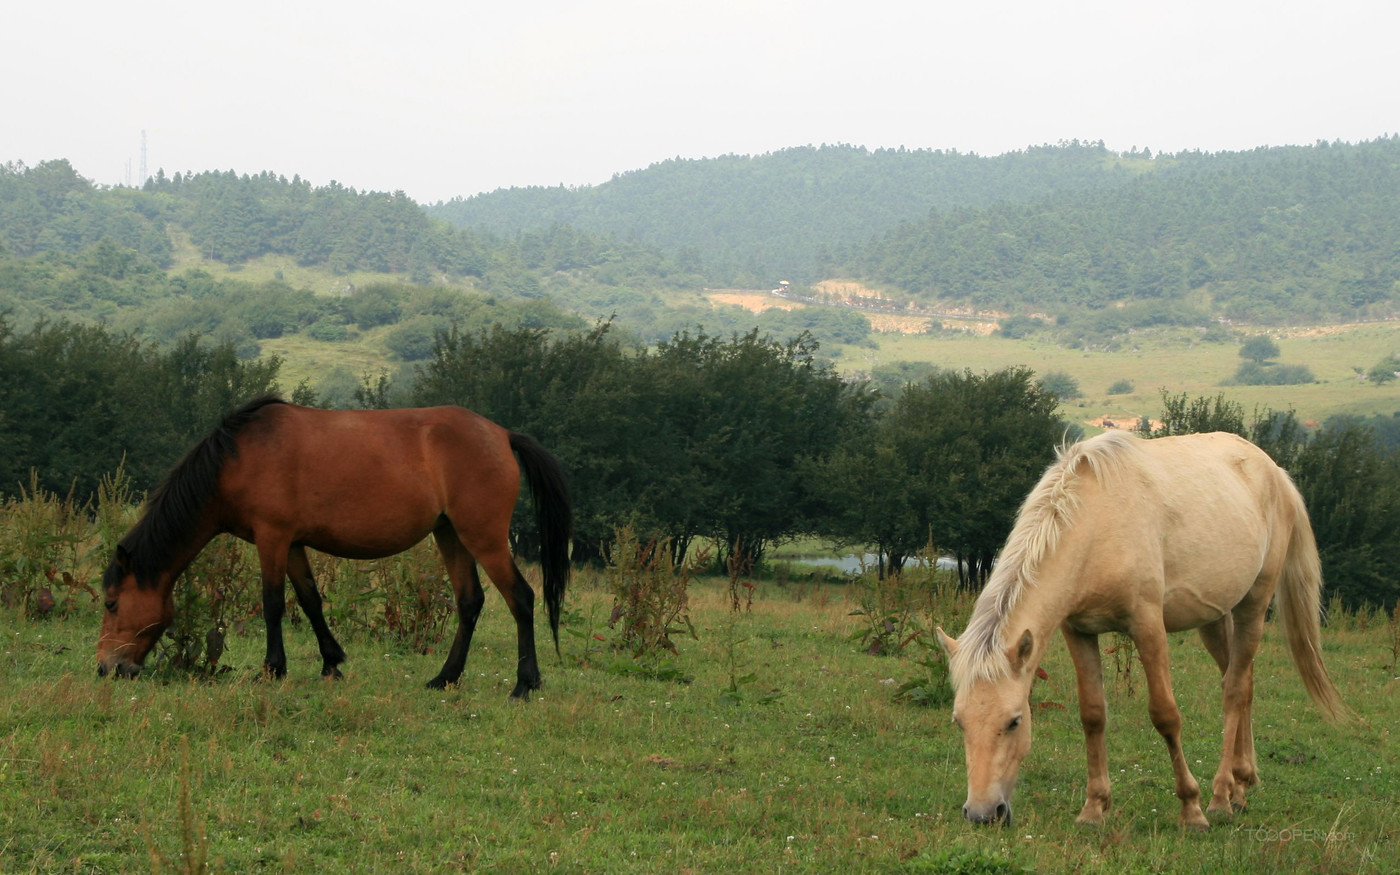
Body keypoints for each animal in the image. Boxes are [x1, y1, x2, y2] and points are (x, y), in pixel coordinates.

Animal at [97, 394, 568, 697]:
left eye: (111, 603)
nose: (106, 668)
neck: (238, 458)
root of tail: (502, 435)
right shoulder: (291, 544)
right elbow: (309, 601)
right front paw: (331, 662)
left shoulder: (272, 538)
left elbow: (272, 604)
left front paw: (272, 669)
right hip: (450, 535)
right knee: (470, 602)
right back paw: (445, 678)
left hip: (483, 538)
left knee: (521, 598)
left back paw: (525, 683)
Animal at [935, 434, 1349, 828]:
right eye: (959, 722)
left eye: (1014, 721)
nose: (983, 813)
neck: (1095, 523)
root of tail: (1275, 471)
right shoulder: (1078, 631)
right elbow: (1093, 714)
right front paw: (1094, 808)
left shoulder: (1148, 626)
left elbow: (1165, 715)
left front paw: (1191, 809)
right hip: (1215, 617)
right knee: (1241, 682)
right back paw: (1240, 787)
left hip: (1254, 603)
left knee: (1234, 691)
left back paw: (1220, 797)